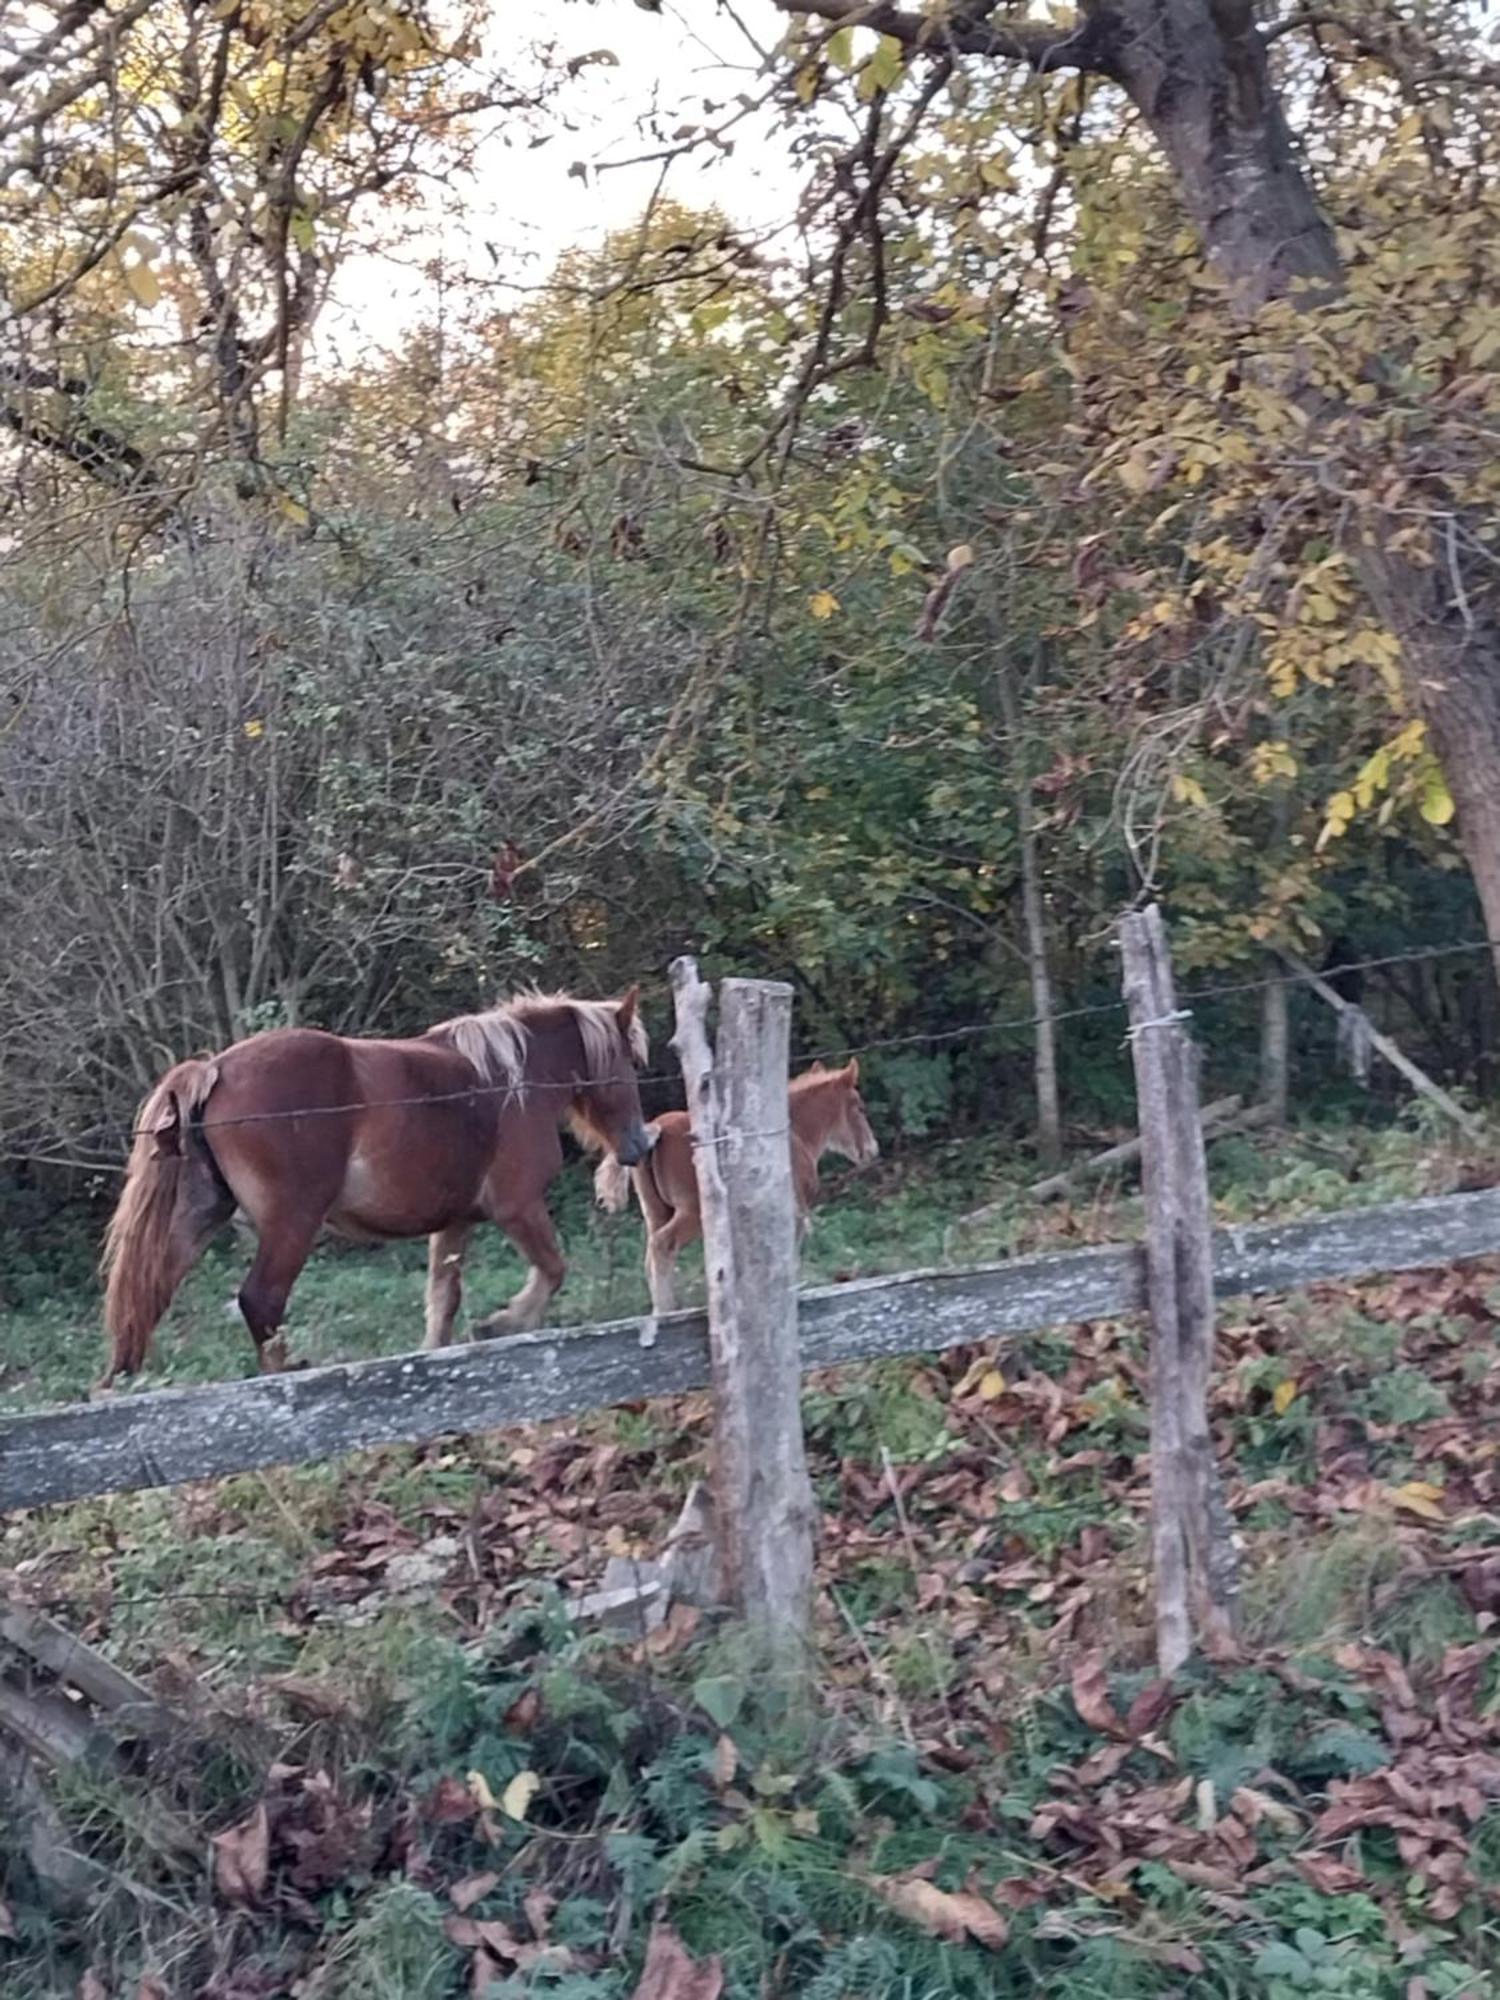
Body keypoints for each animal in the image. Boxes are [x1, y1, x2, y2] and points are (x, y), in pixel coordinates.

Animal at [98, 988, 652, 1392]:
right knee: (261, 1301)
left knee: (147, 1296)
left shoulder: (455, 1224)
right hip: (292, 1224)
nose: (639, 1144)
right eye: (631, 1063)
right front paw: (502, 1323)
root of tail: (214, 1069)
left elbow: (442, 1302)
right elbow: (552, 1270)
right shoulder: (517, 1208)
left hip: (196, 1220)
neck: (514, 1080)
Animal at [592, 1056, 880, 1320]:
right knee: (663, 1245)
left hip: (655, 1210)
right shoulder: (795, 1213)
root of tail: (657, 1128)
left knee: (651, 1255)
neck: (793, 1134)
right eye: (860, 1107)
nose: (872, 1150)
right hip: (693, 1212)